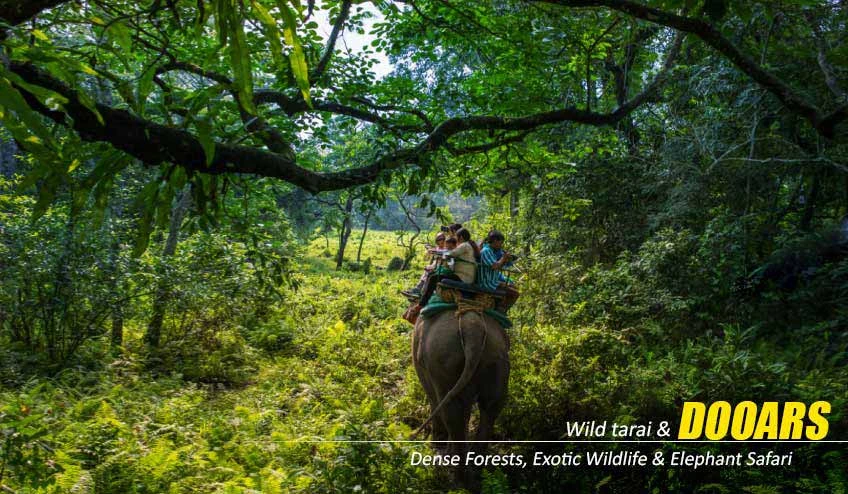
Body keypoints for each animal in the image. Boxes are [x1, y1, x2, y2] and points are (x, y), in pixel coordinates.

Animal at [412, 308, 510, 461]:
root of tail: (472, 326)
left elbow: (433, 397)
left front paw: (436, 447)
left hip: (443, 359)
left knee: (452, 413)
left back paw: (450, 459)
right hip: (497, 359)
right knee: (491, 407)